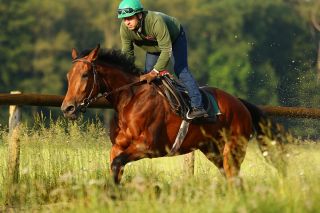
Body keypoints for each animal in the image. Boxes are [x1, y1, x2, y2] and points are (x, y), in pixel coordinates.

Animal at [61, 45, 276, 185]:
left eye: (85, 75)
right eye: (68, 76)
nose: (67, 108)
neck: (130, 100)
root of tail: (240, 104)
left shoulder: (147, 147)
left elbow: (117, 164)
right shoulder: (117, 147)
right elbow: (115, 167)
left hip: (233, 149)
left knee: (234, 177)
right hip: (212, 150)